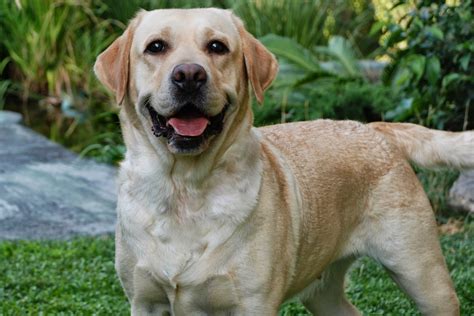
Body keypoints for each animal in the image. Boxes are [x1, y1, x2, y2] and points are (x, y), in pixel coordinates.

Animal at [94, 7, 472, 316]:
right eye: (156, 47)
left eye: (217, 47)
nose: (189, 75)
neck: (184, 189)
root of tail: (374, 127)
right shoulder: (145, 302)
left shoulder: (253, 304)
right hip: (324, 291)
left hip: (422, 274)